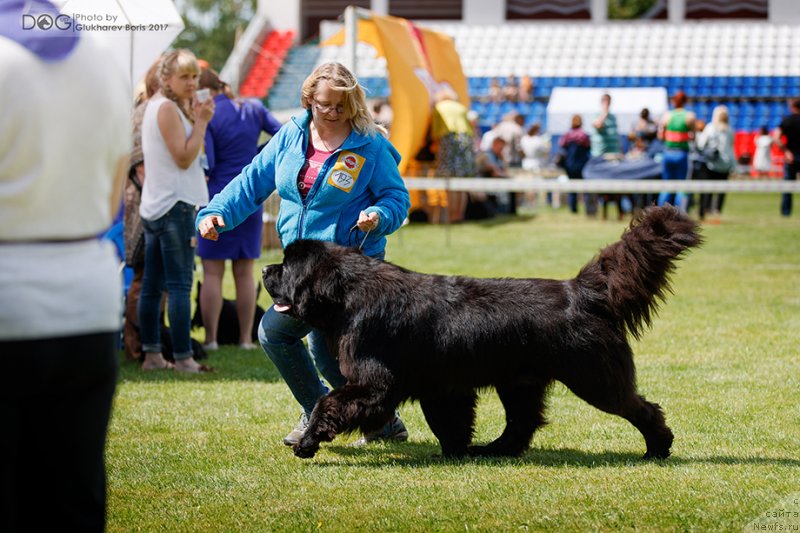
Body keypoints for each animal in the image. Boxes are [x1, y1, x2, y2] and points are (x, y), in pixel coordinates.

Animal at [262, 204, 700, 458]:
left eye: (287, 267)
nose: (266, 269)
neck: (348, 294)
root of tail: (579, 290)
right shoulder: (439, 384)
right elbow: (448, 420)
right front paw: (458, 451)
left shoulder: (376, 383)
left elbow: (329, 402)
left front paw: (307, 442)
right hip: (520, 381)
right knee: (522, 422)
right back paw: (495, 450)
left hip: (594, 377)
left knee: (640, 407)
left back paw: (658, 447)